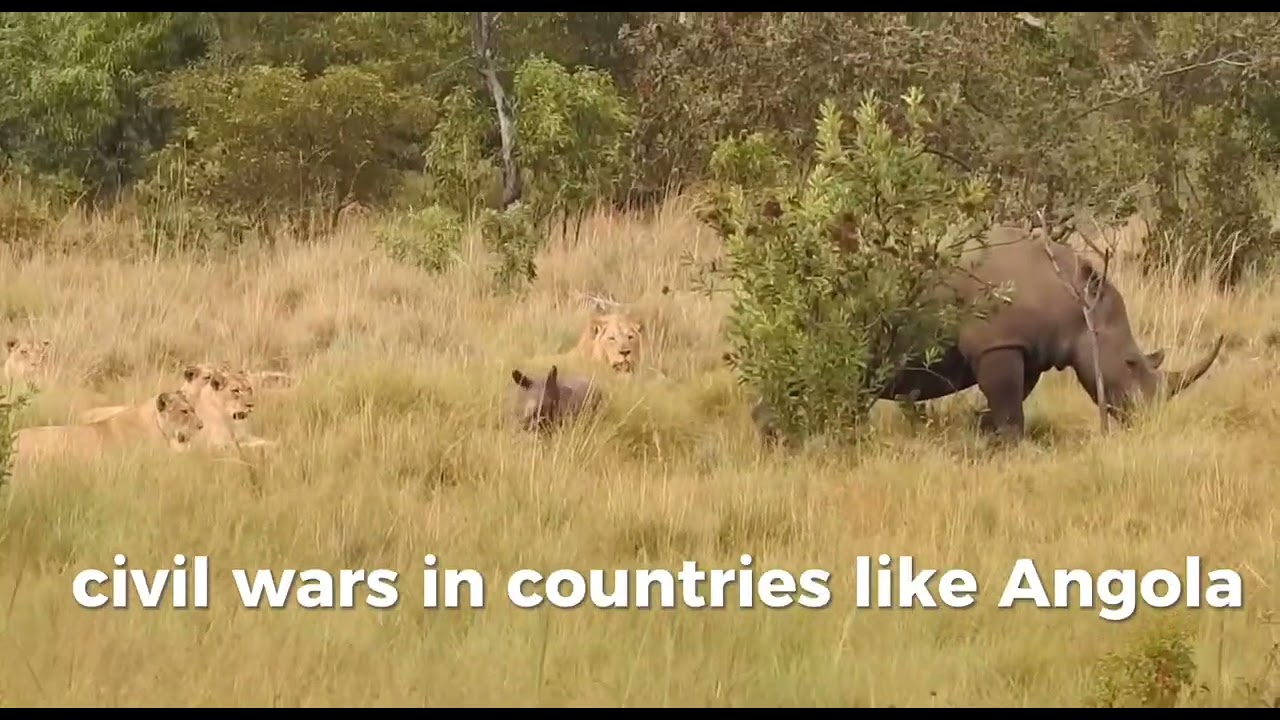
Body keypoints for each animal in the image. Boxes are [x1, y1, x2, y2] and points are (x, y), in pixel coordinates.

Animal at [753, 224, 1224, 441]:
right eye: (1130, 362)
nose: (1149, 420)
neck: (1076, 303)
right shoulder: (1000, 343)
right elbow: (1010, 405)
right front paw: (1013, 448)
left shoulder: (1027, 348)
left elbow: (1010, 400)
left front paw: (983, 433)